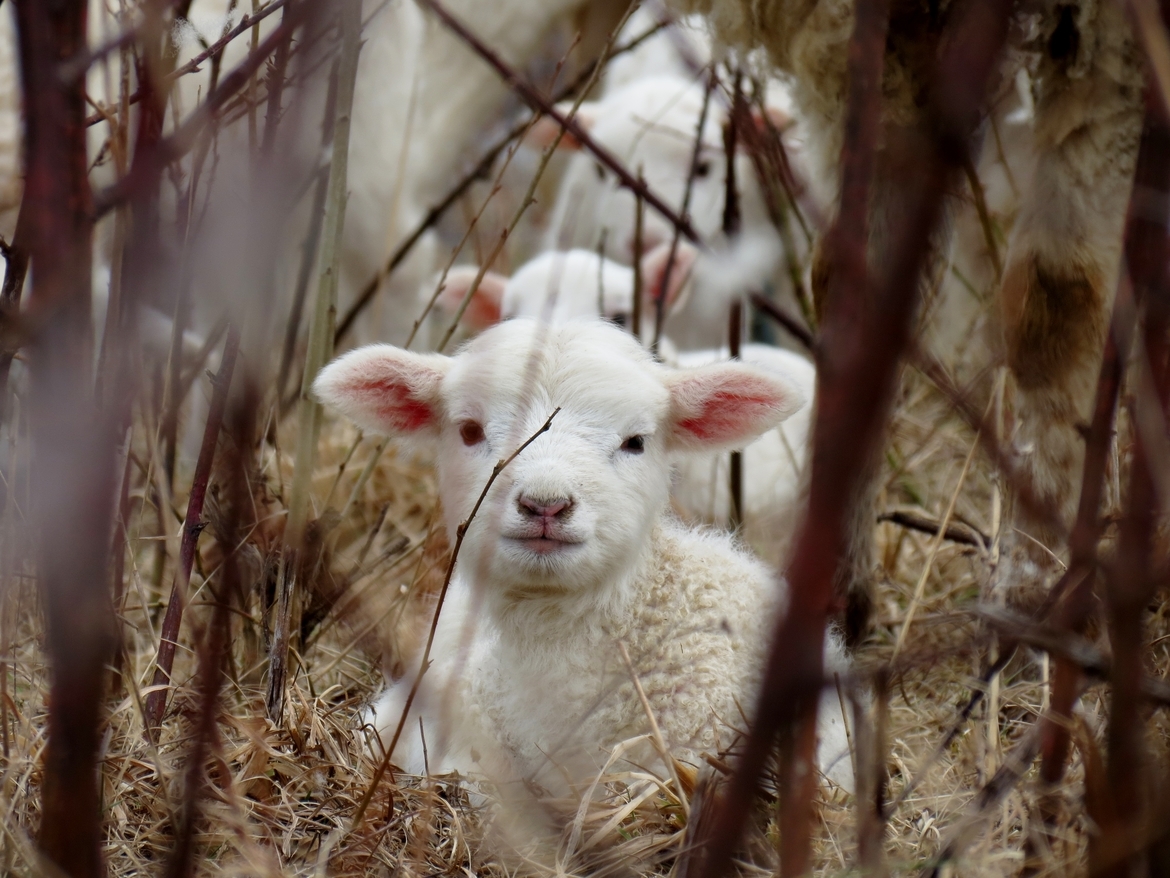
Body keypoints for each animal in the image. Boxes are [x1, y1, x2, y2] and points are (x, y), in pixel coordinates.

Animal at [671, 0, 1145, 635]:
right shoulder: (887, 42)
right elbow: (860, 287)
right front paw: (825, 594)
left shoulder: (1113, 43)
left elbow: (1060, 295)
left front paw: (1034, 592)